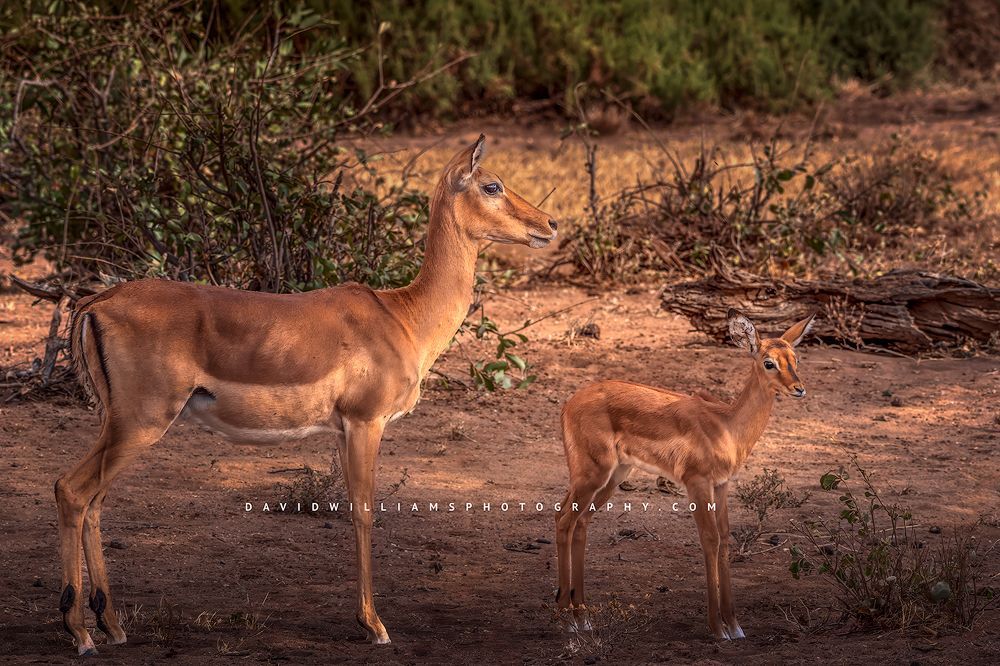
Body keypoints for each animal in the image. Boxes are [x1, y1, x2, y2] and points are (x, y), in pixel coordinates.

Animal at [53, 134, 557, 655]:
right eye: (492, 185)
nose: (550, 224)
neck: (403, 316)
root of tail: (97, 302)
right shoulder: (365, 422)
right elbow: (363, 513)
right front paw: (374, 625)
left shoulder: (342, 430)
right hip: (141, 422)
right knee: (71, 490)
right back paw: (81, 632)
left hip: (120, 425)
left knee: (94, 501)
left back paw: (112, 624)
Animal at [554, 309, 815, 640]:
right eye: (769, 362)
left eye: (796, 358)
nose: (799, 388)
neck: (727, 426)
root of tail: (570, 403)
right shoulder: (696, 483)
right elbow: (710, 539)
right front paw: (717, 628)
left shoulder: (722, 485)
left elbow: (725, 539)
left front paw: (735, 626)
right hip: (592, 474)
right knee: (564, 520)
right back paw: (566, 620)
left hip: (612, 476)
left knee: (578, 521)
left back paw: (583, 618)